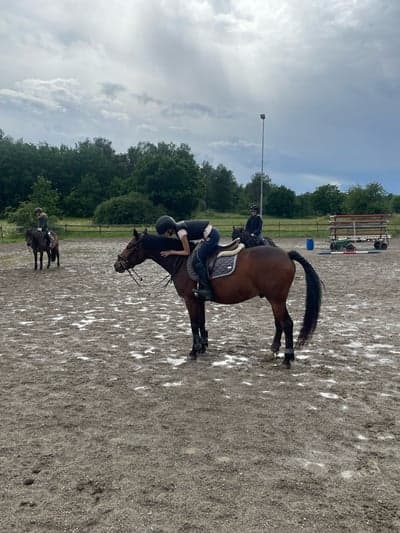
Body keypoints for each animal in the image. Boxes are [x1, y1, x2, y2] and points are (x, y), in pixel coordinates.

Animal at [115, 231, 322, 368]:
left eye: (130, 246)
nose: (117, 264)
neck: (182, 260)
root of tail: (286, 254)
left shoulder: (190, 300)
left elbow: (193, 324)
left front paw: (194, 351)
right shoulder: (199, 300)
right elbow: (201, 322)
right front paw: (202, 347)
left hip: (277, 299)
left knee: (287, 323)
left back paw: (287, 358)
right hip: (274, 300)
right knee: (279, 323)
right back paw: (274, 350)